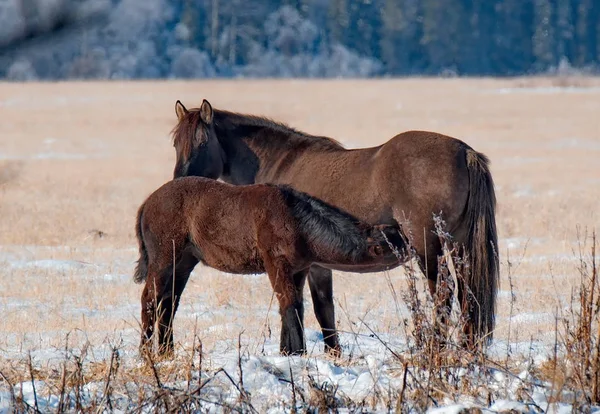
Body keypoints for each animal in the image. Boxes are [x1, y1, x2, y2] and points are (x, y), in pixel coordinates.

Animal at [135, 176, 408, 358]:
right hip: (164, 260)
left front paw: (287, 352)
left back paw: (166, 352)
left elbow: (295, 307)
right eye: (399, 243)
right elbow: (289, 304)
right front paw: (298, 352)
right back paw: (146, 352)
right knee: (150, 299)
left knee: (168, 304)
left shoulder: (298, 271)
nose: (415, 244)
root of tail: (148, 201)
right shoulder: (277, 265)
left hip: (183, 264)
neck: (296, 221)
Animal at [169, 99, 496, 352]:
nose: (179, 183)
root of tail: (464, 152)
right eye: (175, 142)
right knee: (467, 295)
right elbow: (322, 308)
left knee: (444, 294)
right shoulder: (315, 265)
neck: (282, 164)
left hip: (428, 249)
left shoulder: (303, 263)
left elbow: (308, 306)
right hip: (459, 247)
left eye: (202, 142)